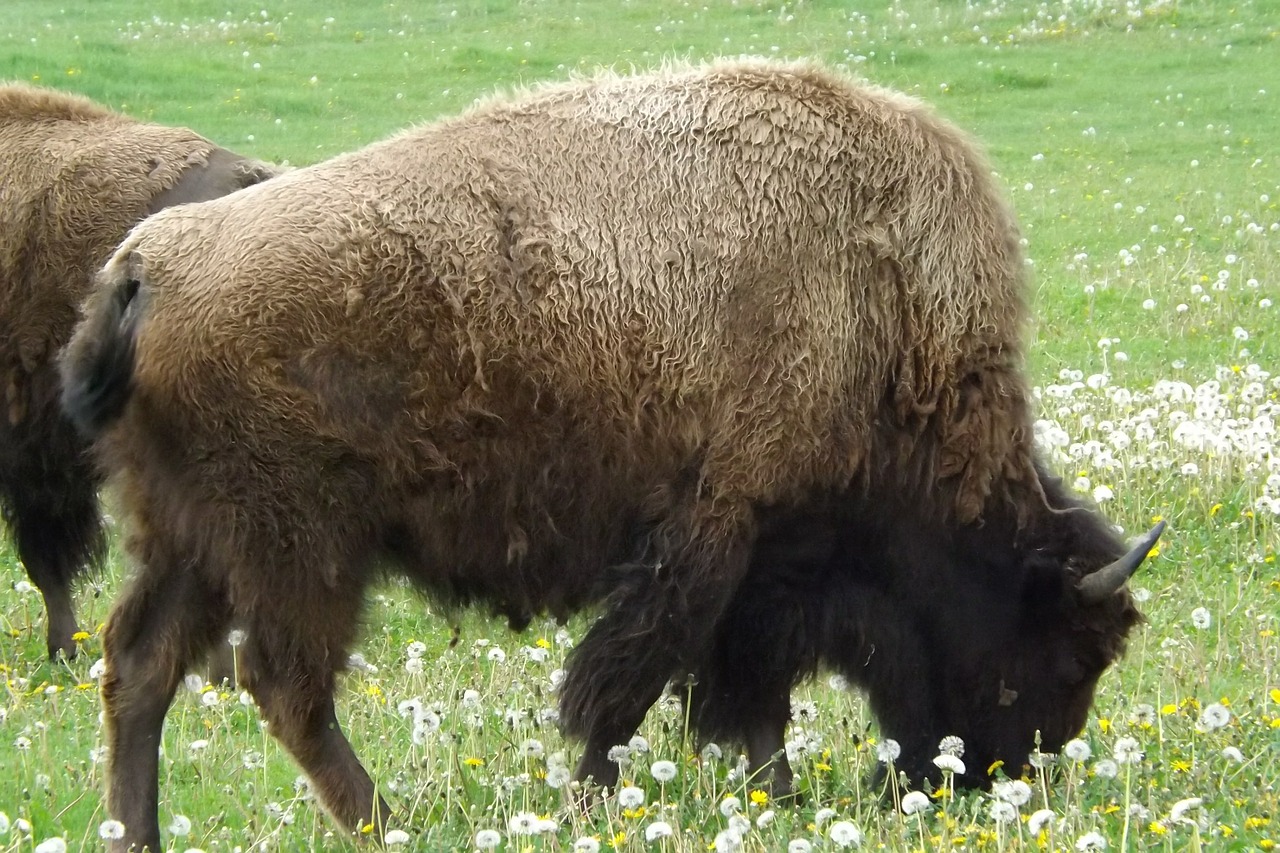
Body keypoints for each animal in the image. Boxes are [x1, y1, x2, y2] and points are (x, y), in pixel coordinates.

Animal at [57, 56, 1162, 845]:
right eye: (1069, 651)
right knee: (283, 684)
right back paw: (387, 825)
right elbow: (634, 688)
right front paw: (605, 801)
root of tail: (146, 264)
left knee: (141, 666)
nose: (997, 778)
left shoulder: (755, 573)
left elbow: (740, 696)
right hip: (300, 546)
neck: (882, 311)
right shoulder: (717, 545)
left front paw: (772, 798)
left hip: (189, 539)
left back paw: (136, 833)